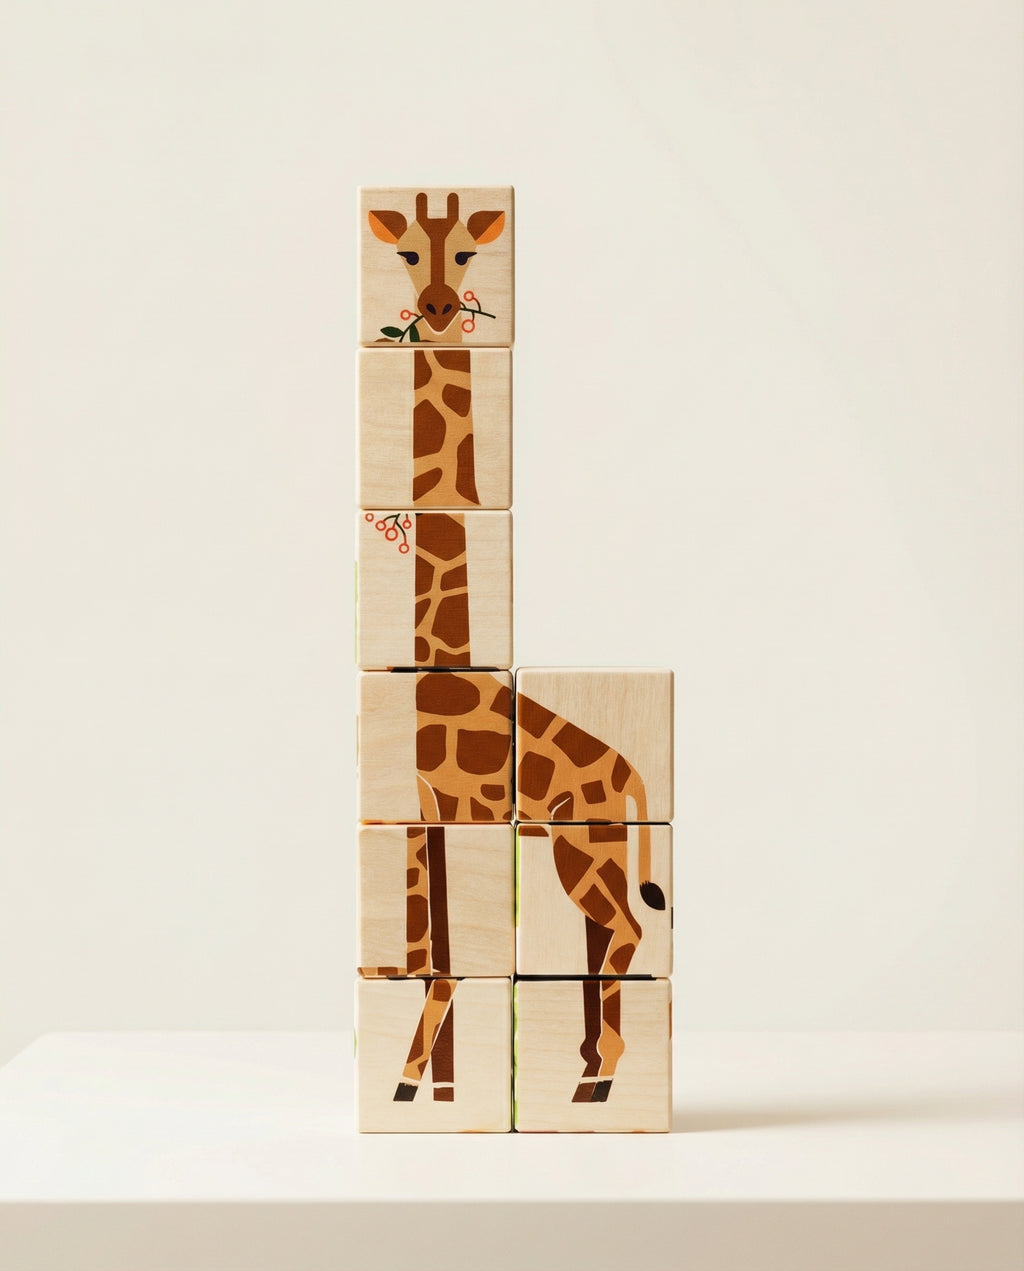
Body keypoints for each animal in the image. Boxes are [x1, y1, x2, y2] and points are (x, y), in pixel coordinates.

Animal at [517, 698, 666, 1103]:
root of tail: (630, 773)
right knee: (598, 952)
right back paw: (590, 1074)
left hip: (583, 856)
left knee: (629, 930)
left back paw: (601, 1077)